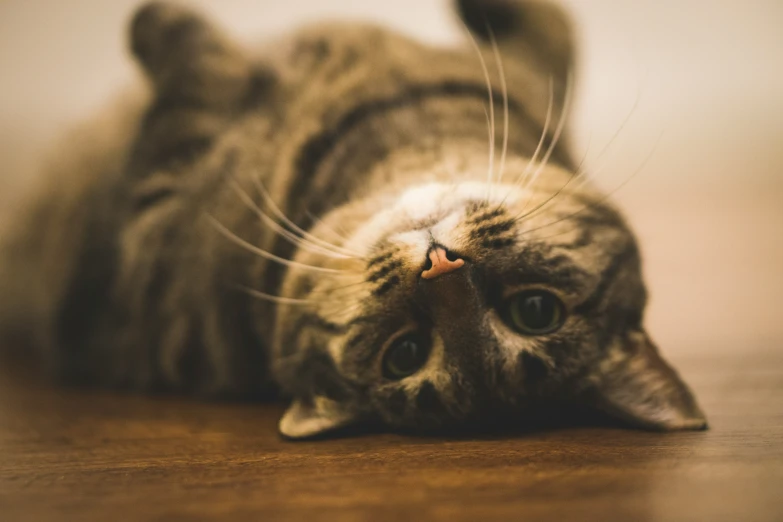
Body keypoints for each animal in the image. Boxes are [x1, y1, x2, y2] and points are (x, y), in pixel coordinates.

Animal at [0, 1, 712, 438]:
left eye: (405, 354)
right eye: (537, 311)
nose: (441, 265)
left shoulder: (141, 226)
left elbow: (184, 68)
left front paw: (167, 29)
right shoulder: (540, 79)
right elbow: (559, 27)